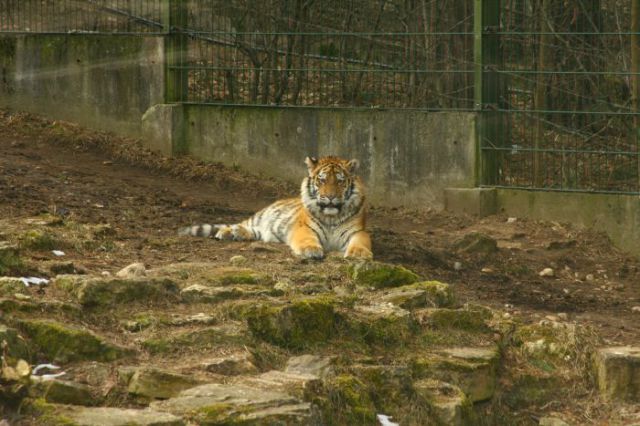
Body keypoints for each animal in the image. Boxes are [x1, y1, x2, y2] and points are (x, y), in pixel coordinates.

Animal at [178, 155, 372, 258]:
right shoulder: (304, 228)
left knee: (255, 232)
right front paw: (310, 250)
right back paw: (227, 232)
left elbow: (361, 241)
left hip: (266, 231)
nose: (330, 197)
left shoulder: (357, 231)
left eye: (339, 181)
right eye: (322, 180)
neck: (331, 215)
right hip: (260, 216)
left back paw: (237, 234)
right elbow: (307, 239)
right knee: (240, 224)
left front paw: (360, 254)